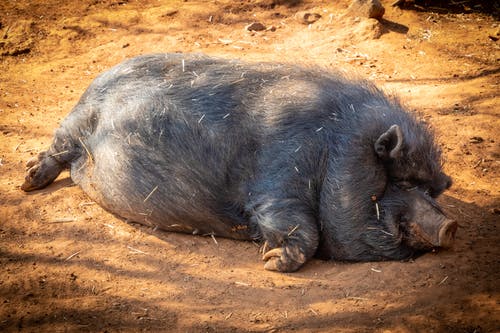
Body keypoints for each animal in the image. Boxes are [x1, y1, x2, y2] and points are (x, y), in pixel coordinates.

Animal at [21, 54, 456, 272]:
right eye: (402, 180)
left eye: (431, 189)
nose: (450, 225)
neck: (333, 151)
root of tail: (95, 81)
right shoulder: (278, 182)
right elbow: (302, 228)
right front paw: (270, 263)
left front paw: (269, 259)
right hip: (75, 123)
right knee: (56, 149)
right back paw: (26, 183)